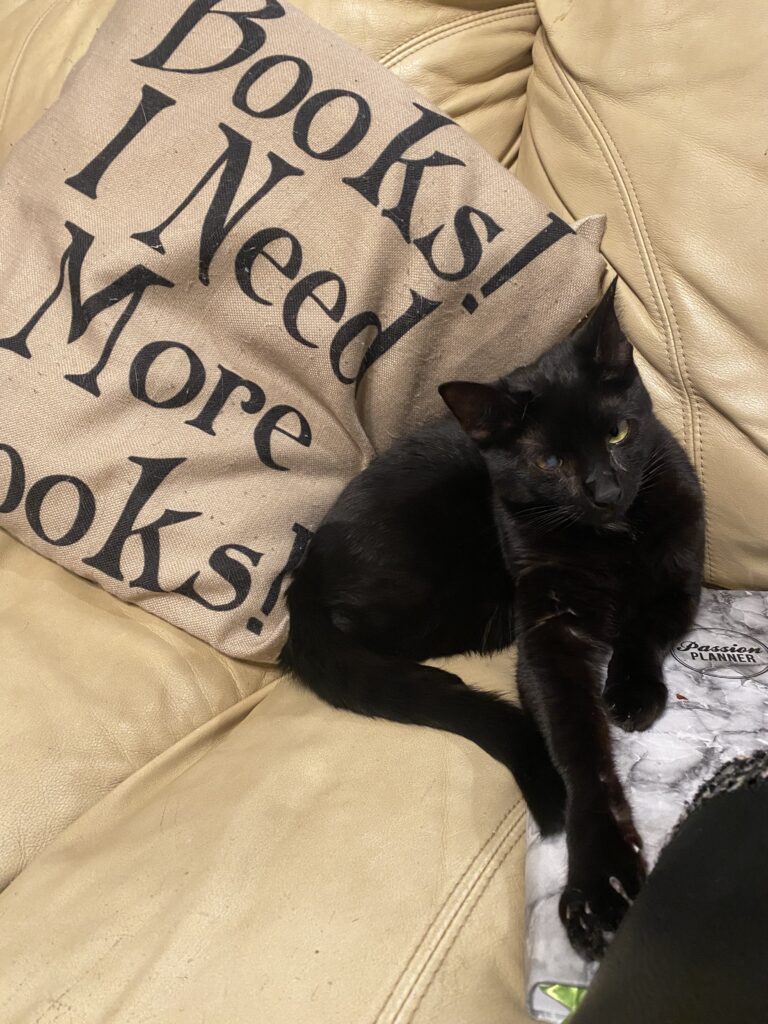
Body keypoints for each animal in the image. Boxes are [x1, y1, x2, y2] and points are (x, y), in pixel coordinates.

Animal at [280, 282, 704, 958]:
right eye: (550, 463)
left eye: (617, 433)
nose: (607, 492)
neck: (611, 542)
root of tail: (302, 586)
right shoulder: (547, 638)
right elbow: (578, 750)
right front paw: (600, 883)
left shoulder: (680, 581)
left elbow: (643, 632)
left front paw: (632, 693)